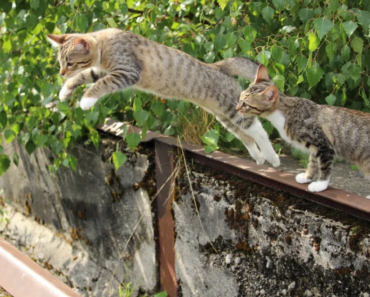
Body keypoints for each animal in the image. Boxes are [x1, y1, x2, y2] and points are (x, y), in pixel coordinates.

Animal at [46, 27, 278, 166]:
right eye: (60, 63)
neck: (104, 43)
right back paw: (259, 157)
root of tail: (218, 66)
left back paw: (272, 158)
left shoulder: (126, 72)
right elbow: (86, 76)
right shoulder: (103, 70)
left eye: (70, 62)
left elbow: (100, 84)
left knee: (259, 130)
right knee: (246, 136)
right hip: (225, 117)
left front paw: (86, 100)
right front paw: (65, 90)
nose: (61, 73)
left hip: (232, 108)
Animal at [237, 64, 370, 193]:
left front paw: (321, 185)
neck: (285, 113)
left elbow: (325, 167)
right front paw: (307, 177)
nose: (236, 108)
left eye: (245, 104)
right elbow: (312, 163)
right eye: (239, 98)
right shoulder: (315, 147)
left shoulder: (324, 145)